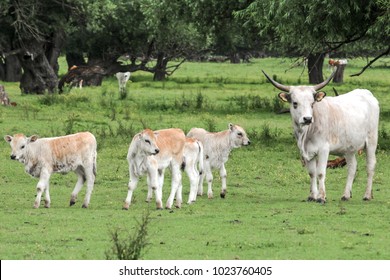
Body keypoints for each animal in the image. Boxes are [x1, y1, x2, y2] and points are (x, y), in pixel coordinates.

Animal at [264, 69, 380, 201]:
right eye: (295, 103)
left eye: (312, 103)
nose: (307, 119)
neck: (306, 134)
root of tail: (366, 93)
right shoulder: (307, 152)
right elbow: (312, 173)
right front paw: (312, 196)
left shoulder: (324, 149)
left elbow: (320, 172)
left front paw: (321, 197)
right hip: (349, 148)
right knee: (352, 167)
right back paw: (346, 195)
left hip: (371, 141)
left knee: (370, 166)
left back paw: (367, 195)